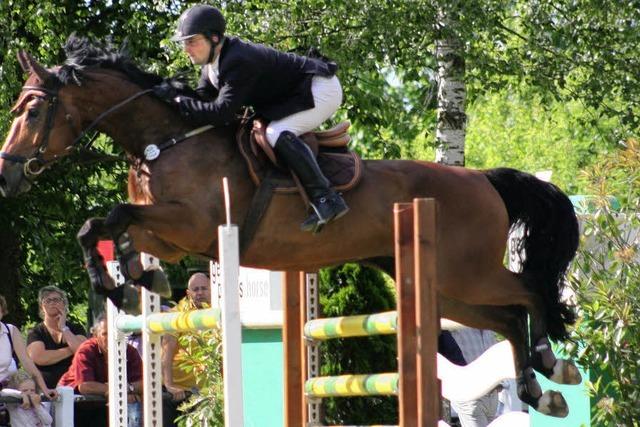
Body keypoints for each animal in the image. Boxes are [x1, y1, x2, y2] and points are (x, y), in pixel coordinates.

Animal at [0, 36, 580, 418]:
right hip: (440, 281)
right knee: (507, 314)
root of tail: (481, 178)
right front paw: (133, 281)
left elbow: (114, 217)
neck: (166, 140)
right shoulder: (169, 235)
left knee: (529, 291)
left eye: (32, 111)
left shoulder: (194, 225)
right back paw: (538, 388)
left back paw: (553, 364)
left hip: (465, 270)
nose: (7, 174)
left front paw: (127, 280)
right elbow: (99, 227)